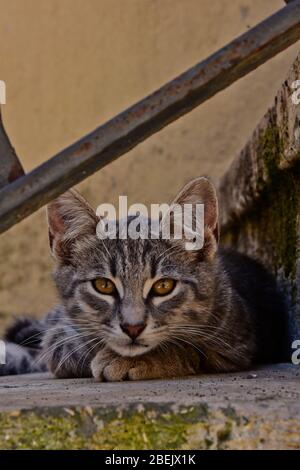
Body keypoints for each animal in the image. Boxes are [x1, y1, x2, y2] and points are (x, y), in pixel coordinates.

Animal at [0, 178, 288, 380]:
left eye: (163, 286)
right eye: (103, 285)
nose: (132, 327)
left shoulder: (236, 343)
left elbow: (189, 347)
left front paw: (134, 359)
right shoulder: (59, 337)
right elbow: (66, 347)